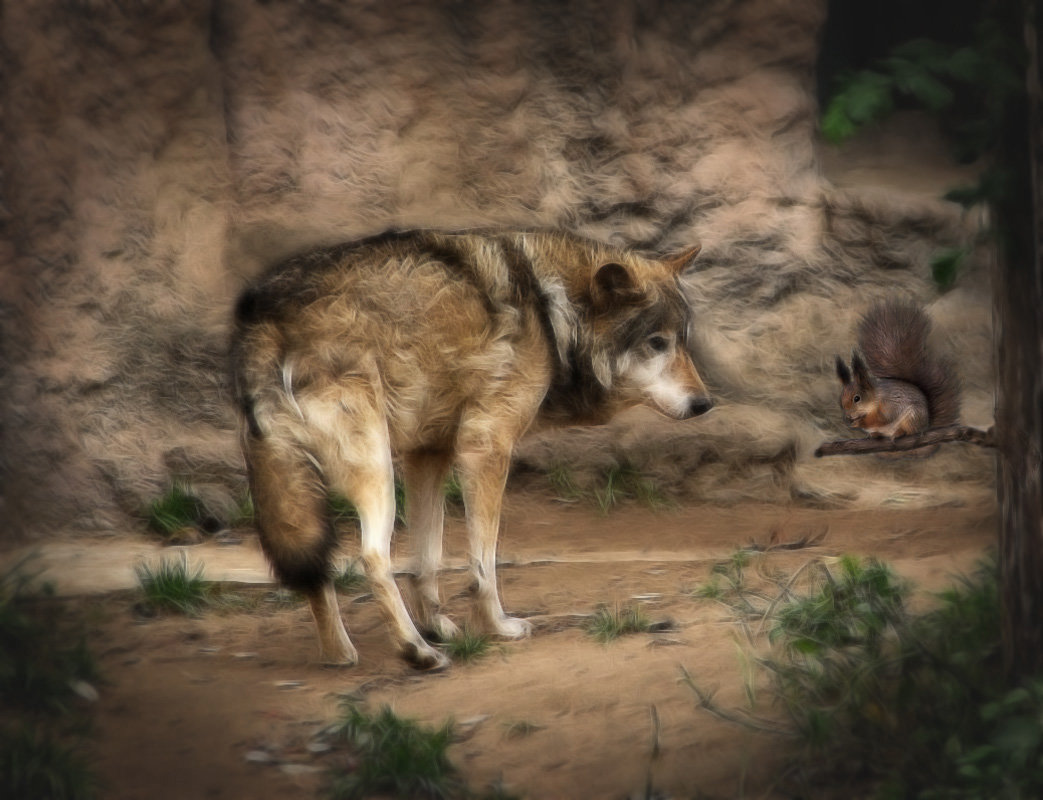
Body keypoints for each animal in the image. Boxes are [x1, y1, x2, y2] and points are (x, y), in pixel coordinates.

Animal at [231, 229, 713, 667]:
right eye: (657, 342)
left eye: (683, 340)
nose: (705, 404)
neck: (552, 314)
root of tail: (264, 317)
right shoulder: (485, 447)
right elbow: (483, 563)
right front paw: (495, 627)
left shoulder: (429, 453)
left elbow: (427, 557)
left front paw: (437, 625)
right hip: (375, 471)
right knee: (371, 557)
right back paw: (416, 652)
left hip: (300, 487)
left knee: (319, 567)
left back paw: (342, 655)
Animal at [834, 300, 963, 442]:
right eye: (840, 399)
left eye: (857, 398)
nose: (848, 417)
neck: (874, 400)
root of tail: (927, 424)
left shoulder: (889, 404)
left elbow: (883, 418)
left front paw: (859, 422)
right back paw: (875, 434)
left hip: (913, 416)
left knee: (911, 430)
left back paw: (899, 433)